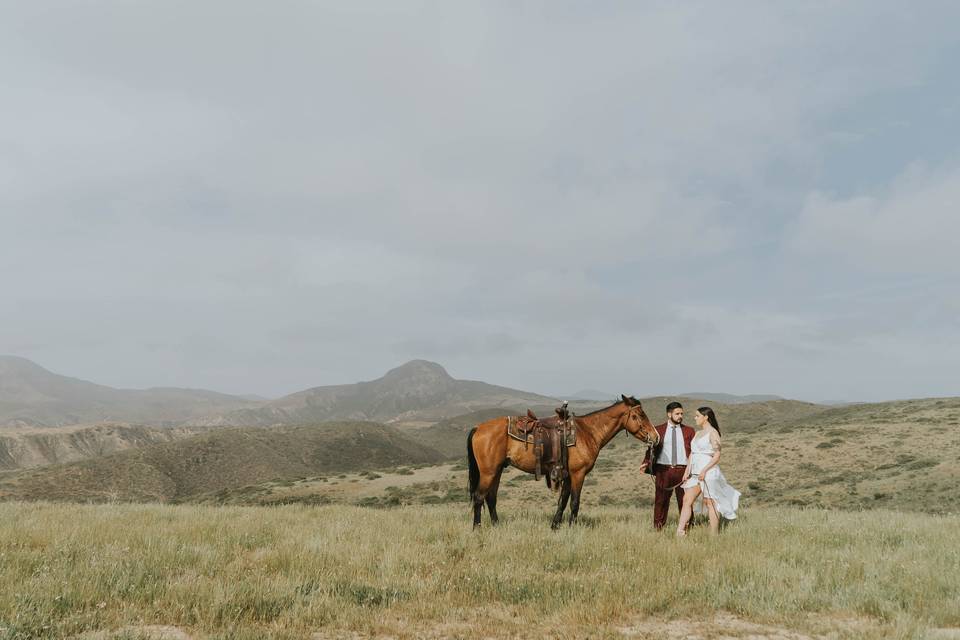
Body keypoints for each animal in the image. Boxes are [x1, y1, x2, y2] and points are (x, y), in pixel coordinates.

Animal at [466, 398, 660, 528]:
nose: (656, 436)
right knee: (479, 497)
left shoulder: (566, 475)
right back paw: (477, 528)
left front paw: (555, 525)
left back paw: (496, 525)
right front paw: (571, 527)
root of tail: (478, 428)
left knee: (491, 498)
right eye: (640, 415)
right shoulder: (578, 474)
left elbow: (563, 500)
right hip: (488, 472)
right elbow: (574, 502)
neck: (587, 432)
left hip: (497, 470)